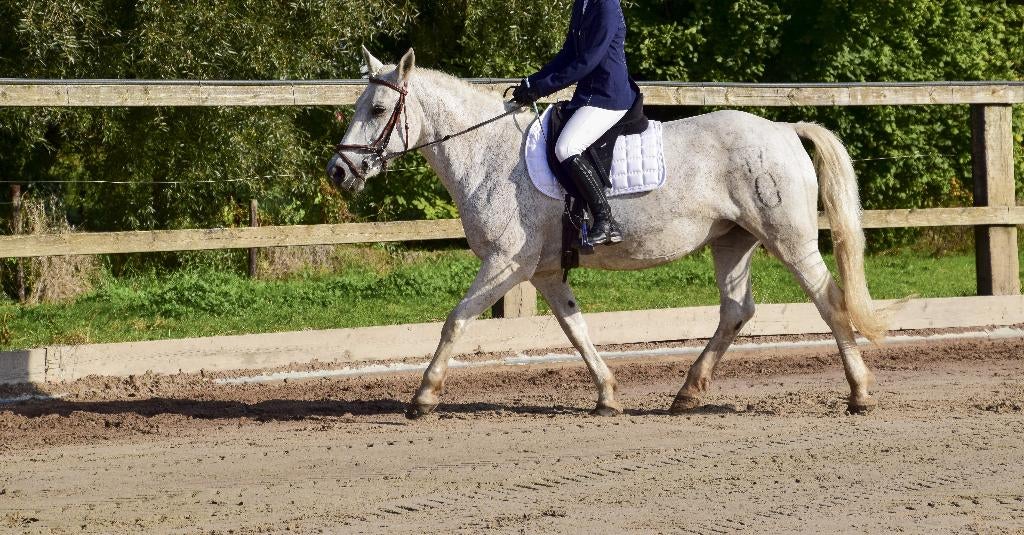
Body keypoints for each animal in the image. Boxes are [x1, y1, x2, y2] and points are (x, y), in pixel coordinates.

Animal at [328, 47, 887, 419]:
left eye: (378, 110)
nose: (338, 172)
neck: (487, 152)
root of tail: (784, 129)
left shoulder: (507, 263)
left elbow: (455, 320)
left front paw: (422, 397)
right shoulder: (544, 272)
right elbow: (576, 329)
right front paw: (607, 394)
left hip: (788, 239)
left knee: (829, 300)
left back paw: (859, 394)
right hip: (732, 241)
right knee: (736, 311)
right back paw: (686, 394)